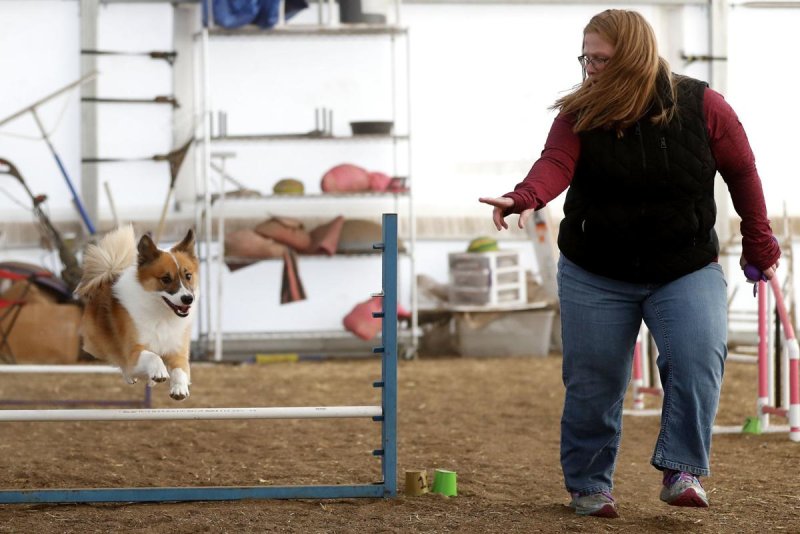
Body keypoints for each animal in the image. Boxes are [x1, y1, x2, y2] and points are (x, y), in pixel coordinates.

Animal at [76, 226, 199, 402]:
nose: (188, 299)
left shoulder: (177, 351)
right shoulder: (133, 351)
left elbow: (180, 370)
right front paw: (159, 371)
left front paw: (179, 388)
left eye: (188, 276)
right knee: (121, 361)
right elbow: (152, 356)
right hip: (99, 344)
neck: (161, 314)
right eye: (166, 279)